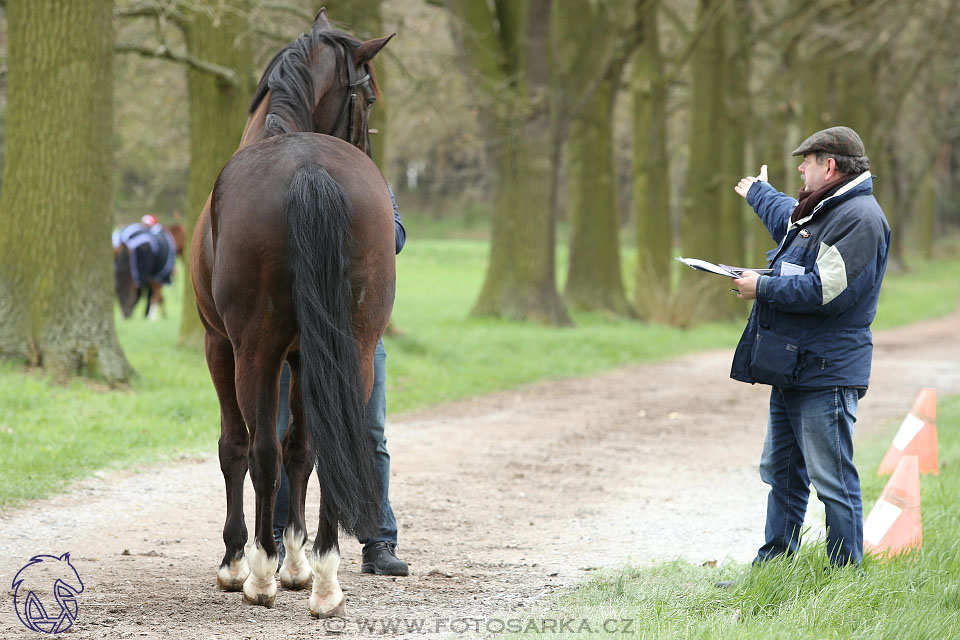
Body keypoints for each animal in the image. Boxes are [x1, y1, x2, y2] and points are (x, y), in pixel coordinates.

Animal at [189, 10, 392, 616]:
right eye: (371, 97)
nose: (369, 145)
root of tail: (309, 169)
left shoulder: (219, 345)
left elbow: (237, 447)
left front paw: (237, 561)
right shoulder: (305, 355)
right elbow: (301, 449)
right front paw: (298, 564)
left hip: (253, 350)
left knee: (259, 450)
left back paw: (259, 572)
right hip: (352, 349)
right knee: (322, 445)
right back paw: (323, 576)